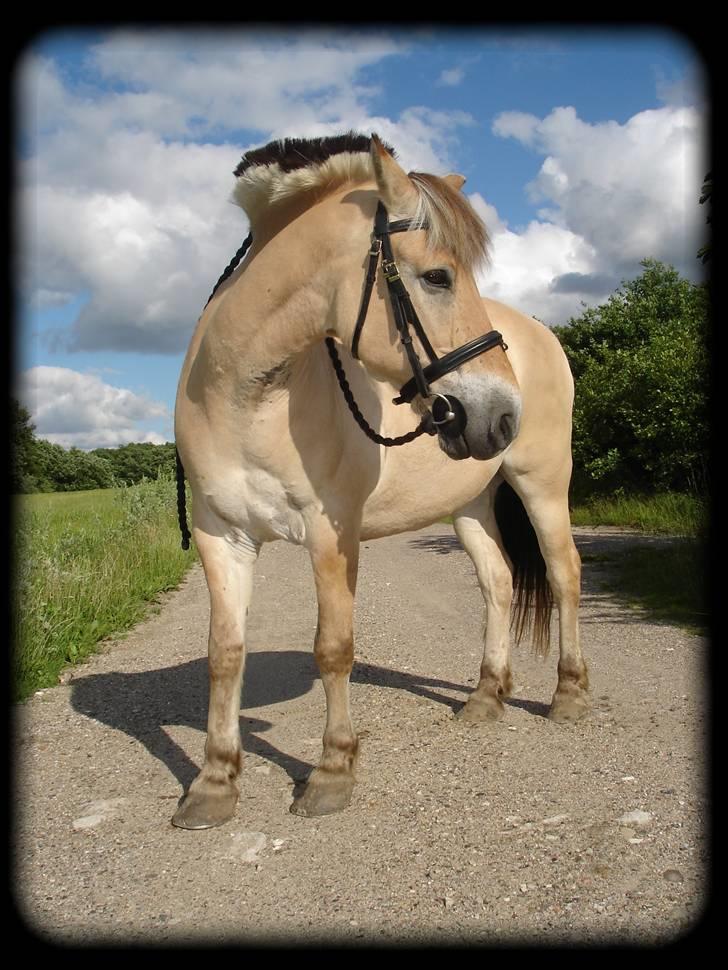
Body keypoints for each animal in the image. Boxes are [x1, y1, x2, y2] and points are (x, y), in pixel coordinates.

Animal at [171, 132, 584, 828]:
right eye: (438, 276)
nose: (504, 413)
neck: (243, 396)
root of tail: (541, 332)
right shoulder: (220, 536)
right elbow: (224, 654)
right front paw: (213, 783)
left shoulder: (331, 533)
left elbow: (334, 646)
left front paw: (332, 773)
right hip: (471, 504)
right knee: (498, 582)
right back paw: (485, 697)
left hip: (543, 486)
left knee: (564, 574)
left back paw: (569, 695)